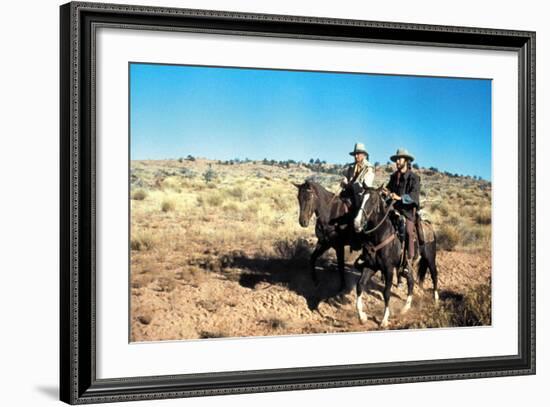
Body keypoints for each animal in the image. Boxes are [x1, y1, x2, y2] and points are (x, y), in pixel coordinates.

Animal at [354, 186, 440, 330]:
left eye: (373, 201)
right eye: (360, 199)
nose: (356, 223)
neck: (380, 235)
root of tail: (429, 226)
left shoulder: (388, 269)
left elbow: (386, 293)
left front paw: (384, 320)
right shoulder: (370, 266)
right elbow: (360, 285)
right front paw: (362, 317)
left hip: (430, 258)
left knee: (434, 275)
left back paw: (436, 299)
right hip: (408, 266)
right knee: (411, 281)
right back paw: (406, 307)